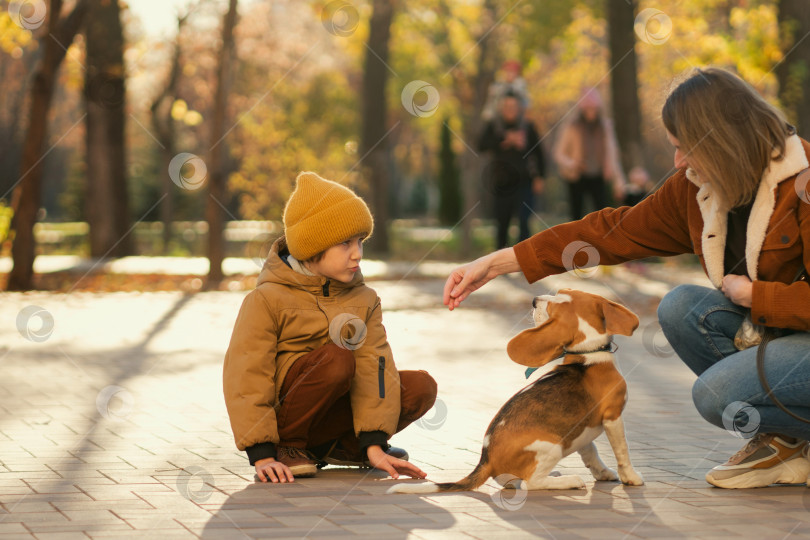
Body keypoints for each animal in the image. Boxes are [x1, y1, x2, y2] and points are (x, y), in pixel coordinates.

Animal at [388, 292, 640, 494]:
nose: (535, 300)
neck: (588, 355)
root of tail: (487, 461)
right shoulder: (613, 416)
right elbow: (622, 450)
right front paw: (631, 477)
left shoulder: (581, 427)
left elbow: (591, 452)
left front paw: (603, 473)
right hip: (552, 446)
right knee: (531, 484)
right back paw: (569, 480)